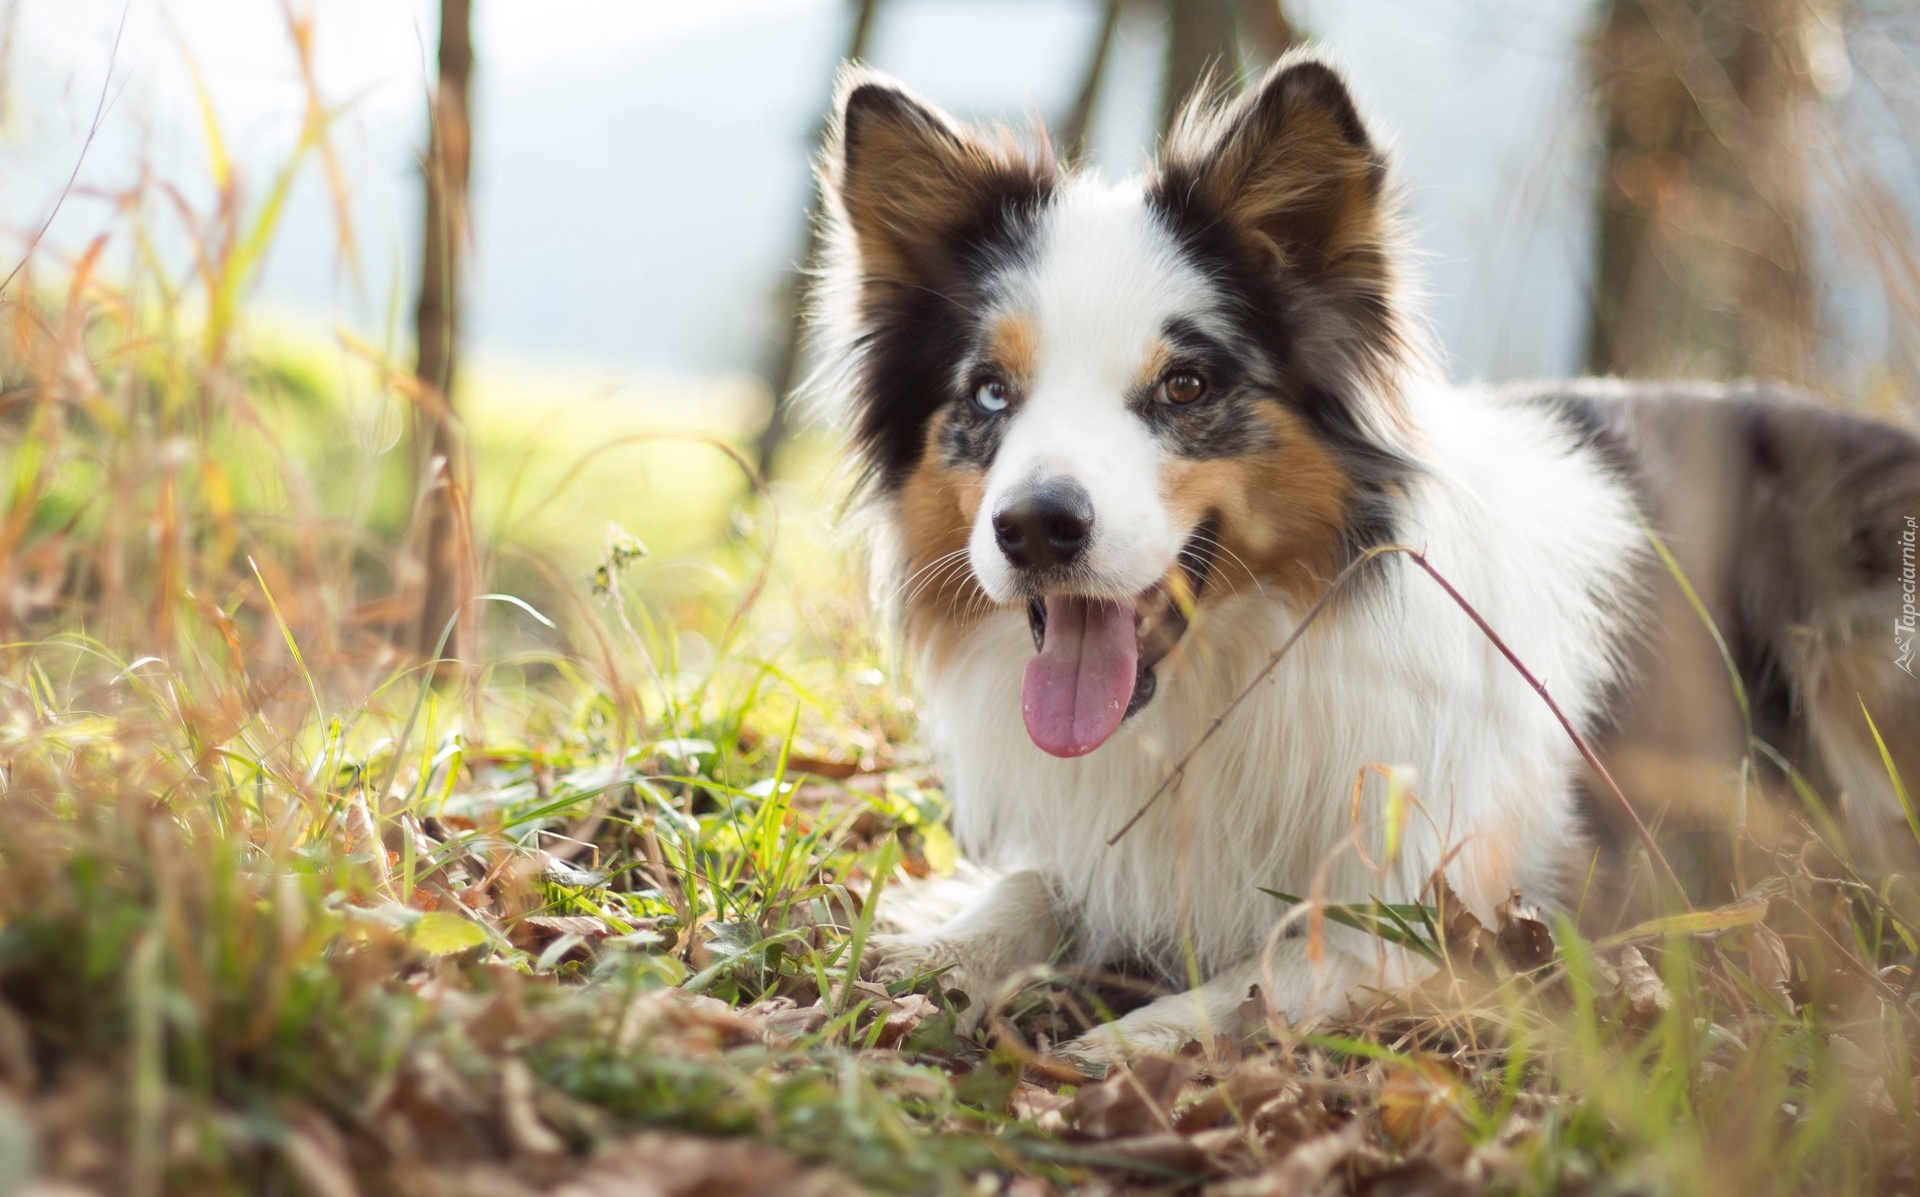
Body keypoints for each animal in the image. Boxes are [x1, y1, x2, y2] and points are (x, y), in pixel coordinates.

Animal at [814, 51, 1920, 1075]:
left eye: (1185, 385)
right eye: (991, 393)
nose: (1037, 528)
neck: (1236, 673)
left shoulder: (1482, 898)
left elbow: (1284, 958)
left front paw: (1124, 1046)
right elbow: (1031, 885)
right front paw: (925, 955)